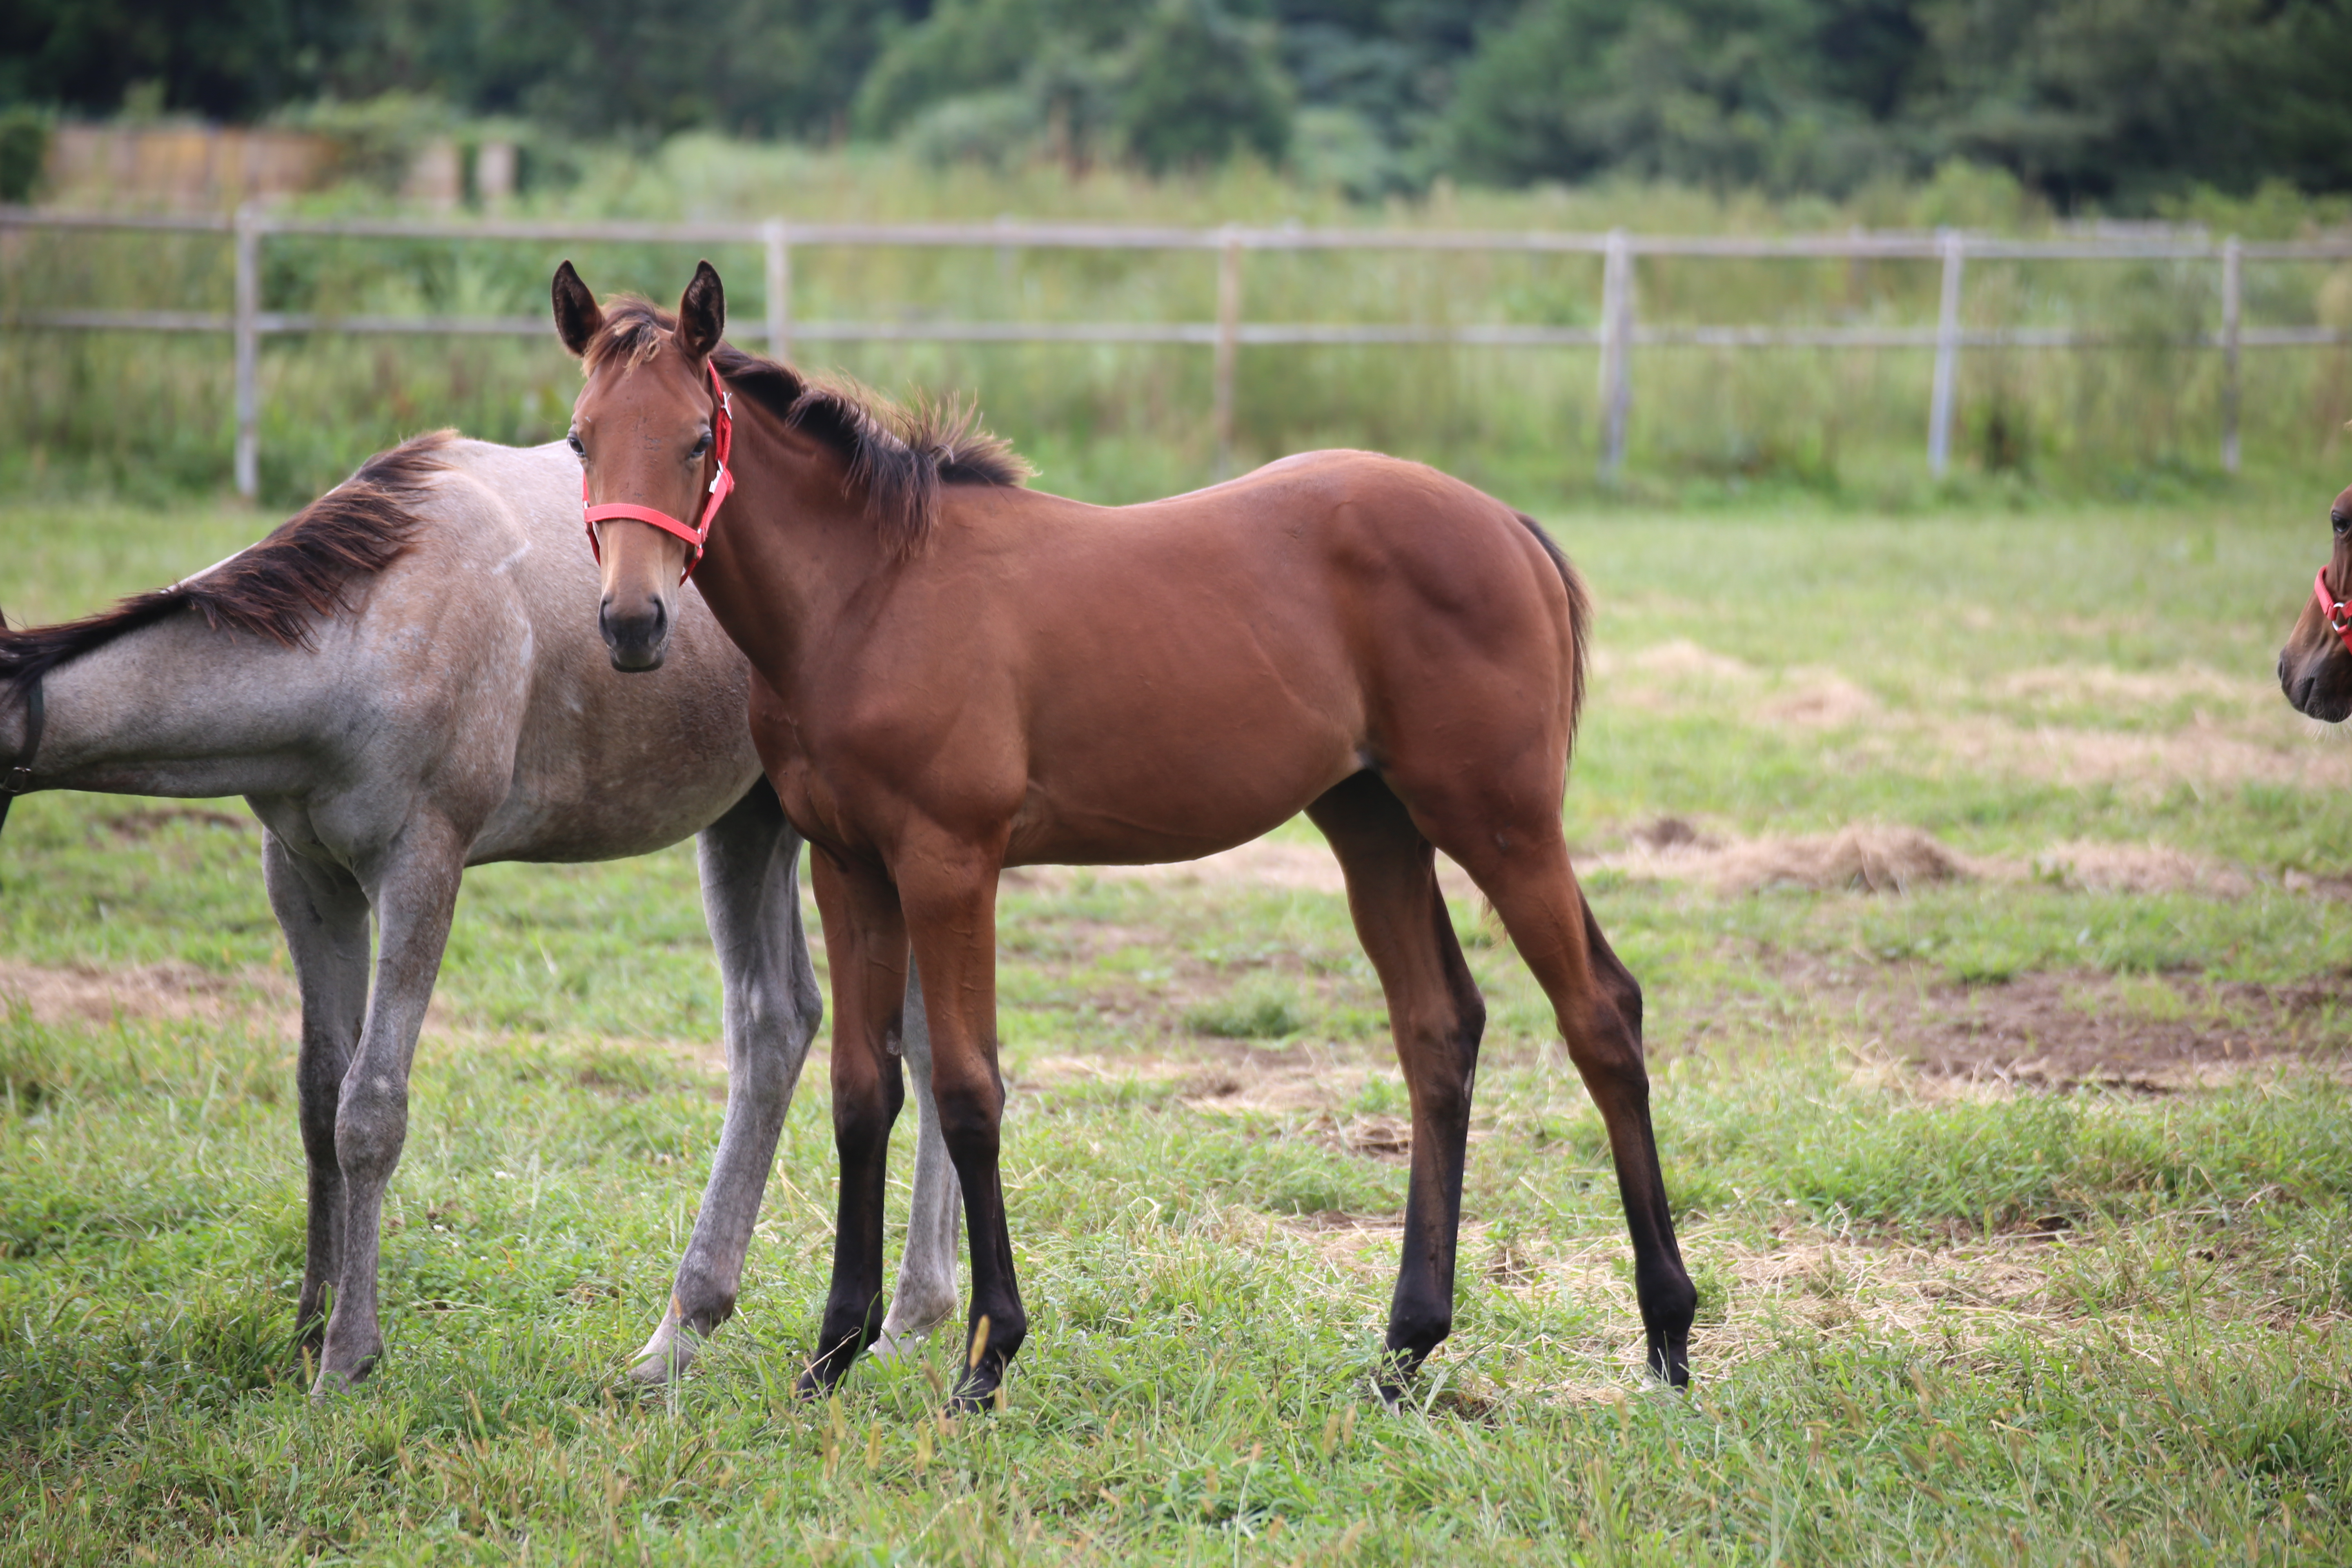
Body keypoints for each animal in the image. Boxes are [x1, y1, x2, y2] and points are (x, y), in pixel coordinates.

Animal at [0, 430, 964, 1401]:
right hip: (749, 821)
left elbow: (370, 1111)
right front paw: (309, 1324)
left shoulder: (423, 863)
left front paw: (347, 1358)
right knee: (782, 1023)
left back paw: (894, 1320)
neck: (367, 628)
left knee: (911, 1034)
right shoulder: (305, 874)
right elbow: (318, 1095)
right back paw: (703, 1336)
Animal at [550, 261, 1693, 1410]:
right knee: (1438, 1030)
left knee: (1600, 1015)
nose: (633, 625)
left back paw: (1667, 1335)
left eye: (696, 438)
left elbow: (968, 1091)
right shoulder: (850, 868)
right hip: (1373, 826)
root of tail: (1507, 525)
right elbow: (862, 1093)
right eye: (580, 440)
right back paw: (1404, 1347)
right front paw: (832, 1354)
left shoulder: (951, 864)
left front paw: (986, 1360)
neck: (868, 595)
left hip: (1501, 821)